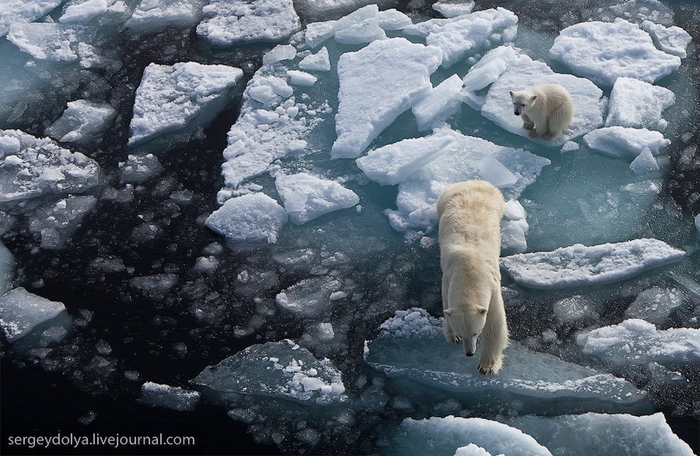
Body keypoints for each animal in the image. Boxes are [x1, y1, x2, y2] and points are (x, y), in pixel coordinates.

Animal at [438, 180, 508, 376]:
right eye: (462, 334)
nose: (469, 353)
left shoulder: (492, 287)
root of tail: (471, 181)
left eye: (476, 332)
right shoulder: (447, 279)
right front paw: (451, 336)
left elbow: (496, 322)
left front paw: (486, 366)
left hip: (497, 201)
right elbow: (446, 305)